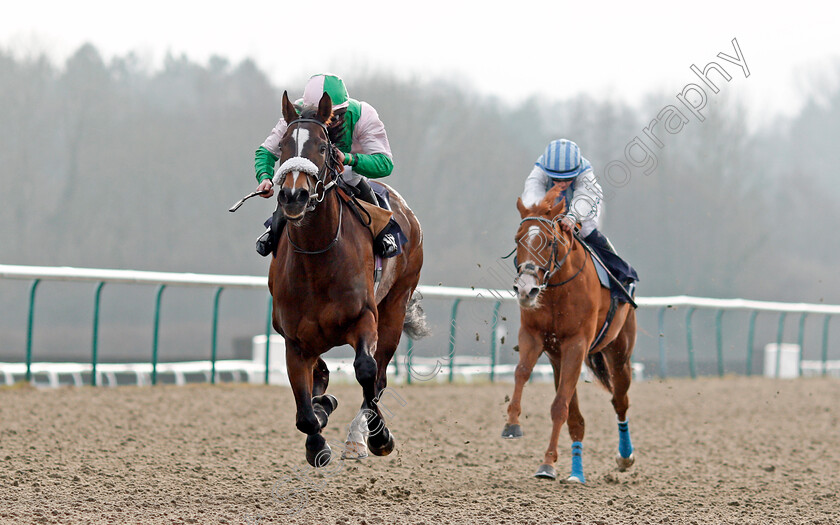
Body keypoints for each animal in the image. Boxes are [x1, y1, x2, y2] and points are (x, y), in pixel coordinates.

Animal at [270, 89, 426, 466]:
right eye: (283, 145)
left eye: (322, 146)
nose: (293, 196)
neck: (317, 258)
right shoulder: (294, 339)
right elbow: (305, 408)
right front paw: (317, 435)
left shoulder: (364, 317)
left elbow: (367, 371)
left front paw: (378, 436)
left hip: (395, 306)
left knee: (378, 375)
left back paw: (362, 436)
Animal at [498, 185, 636, 484]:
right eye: (517, 239)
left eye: (550, 241)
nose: (526, 290)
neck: (557, 289)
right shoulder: (534, 336)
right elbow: (522, 373)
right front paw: (512, 424)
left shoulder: (576, 343)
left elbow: (559, 406)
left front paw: (548, 462)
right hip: (559, 359)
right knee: (577, 419)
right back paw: (576, 472)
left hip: (619, 351)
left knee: (619, 401)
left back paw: (624, 456)